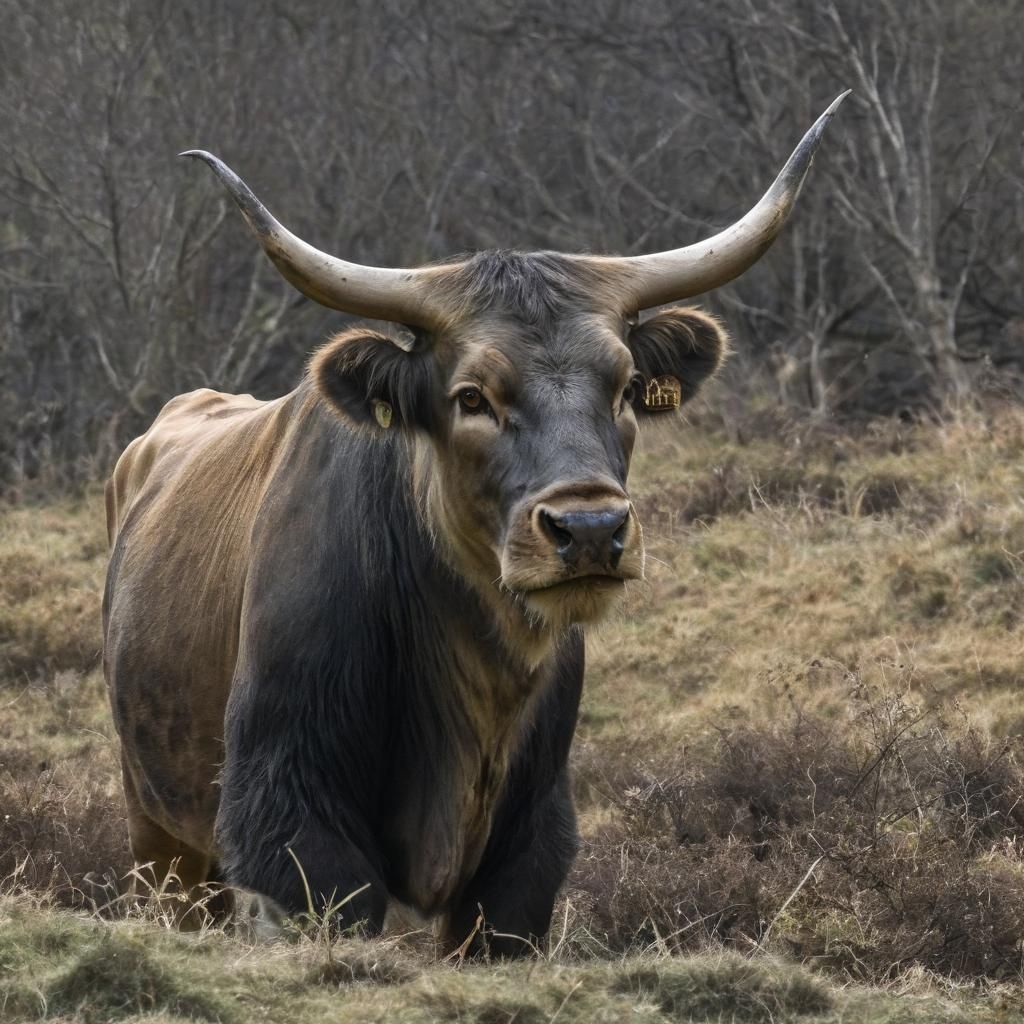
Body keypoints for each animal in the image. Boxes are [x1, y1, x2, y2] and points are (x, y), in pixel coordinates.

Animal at [103, 94, 846, 953]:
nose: (590, 529)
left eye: (625, 385)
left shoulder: (523, 859)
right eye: (471, 397)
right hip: (158, 830)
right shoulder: (290, 831)